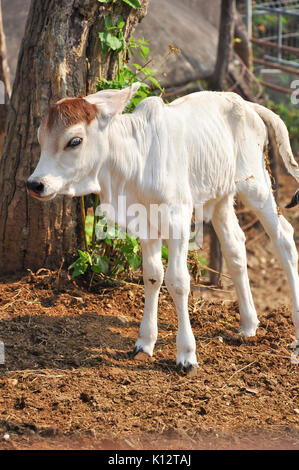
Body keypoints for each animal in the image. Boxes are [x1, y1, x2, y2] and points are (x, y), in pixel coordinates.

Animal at [27, 82, 299, 372]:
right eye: (41, 139)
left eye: (74, 141)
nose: (35, 184)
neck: (134, 163)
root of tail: (246, 103)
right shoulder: (144, 225)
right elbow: (152, 275)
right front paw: (144, 343)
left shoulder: (178, 219)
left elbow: (178, 281)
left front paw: (186, 354)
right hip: (221, 197)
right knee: (234, 246)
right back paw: (248, 324)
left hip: (255, 185)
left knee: (283, 238)